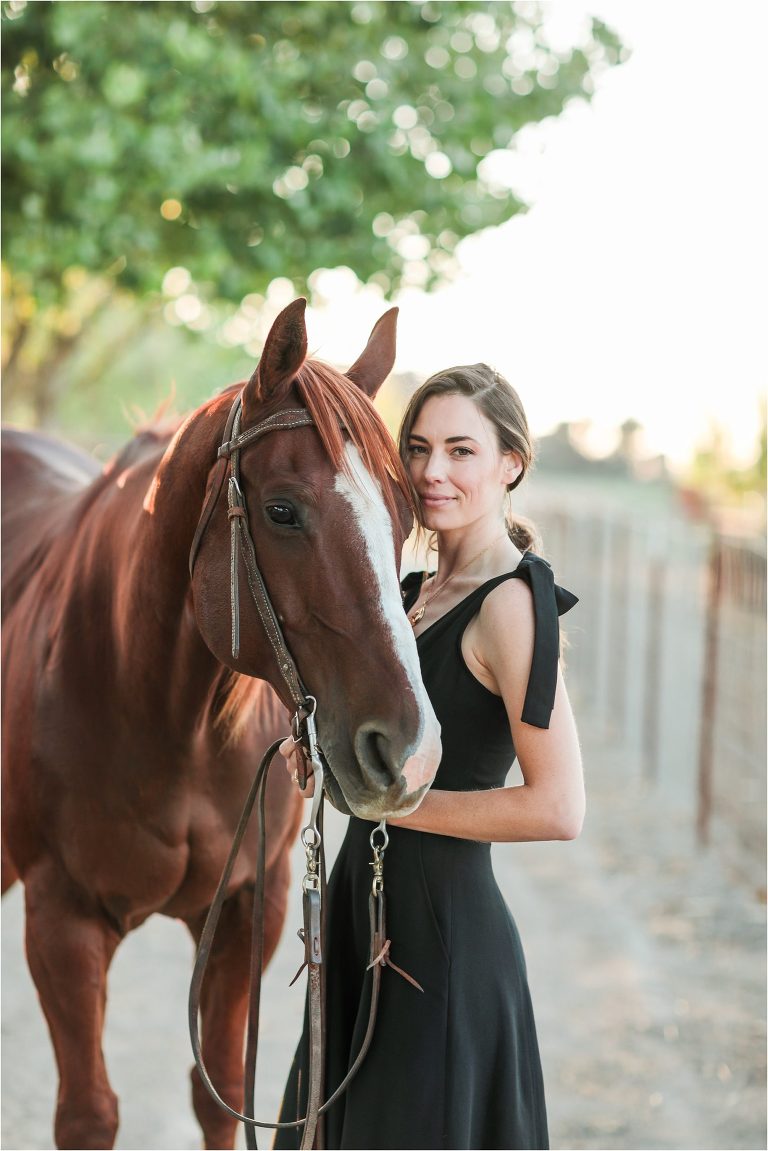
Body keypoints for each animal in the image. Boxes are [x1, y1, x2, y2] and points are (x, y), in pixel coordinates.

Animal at [1, 298, 442, 1151]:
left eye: (406, 514)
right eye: (283, 510)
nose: (410, 753)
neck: (167, 719)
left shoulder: (249, 910)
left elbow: (224, 1093)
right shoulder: (62, 922)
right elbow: (88, 1114)